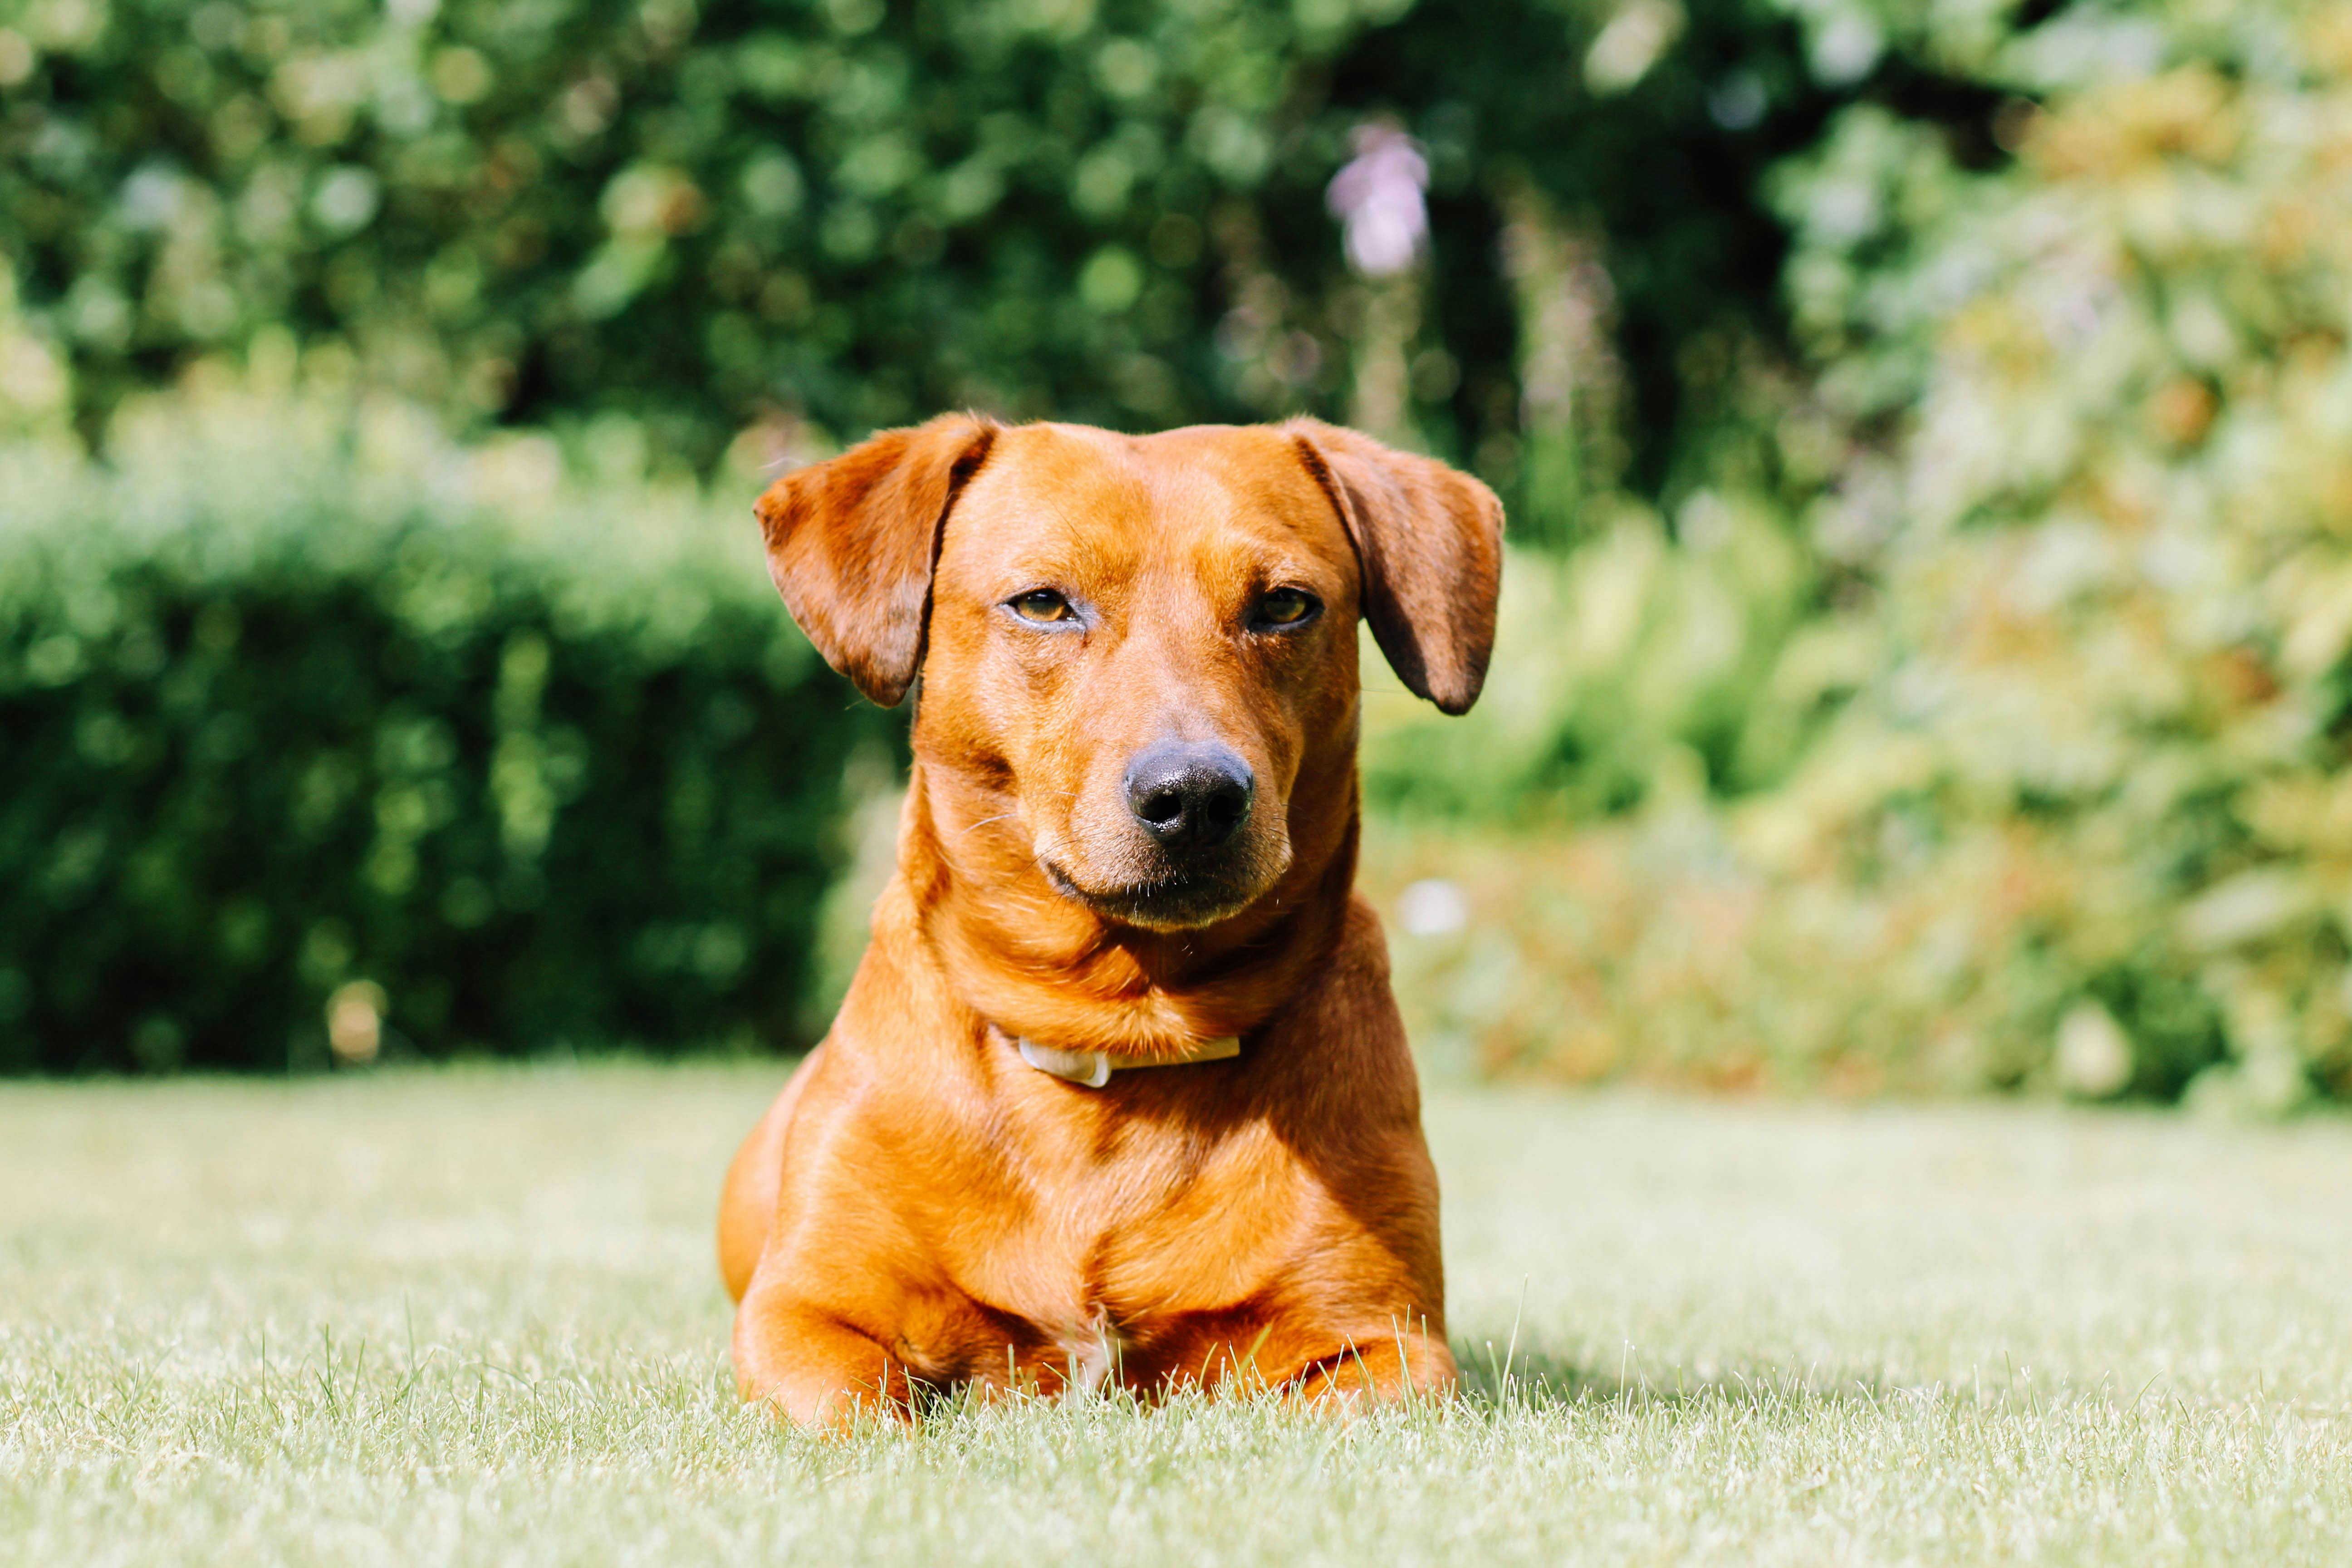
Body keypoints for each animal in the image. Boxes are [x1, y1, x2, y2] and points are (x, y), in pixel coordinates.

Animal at [710, 413, 1505, 1420]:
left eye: (1286, 605)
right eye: (1044, 604)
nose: (1194, 794)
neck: (1120, 1035)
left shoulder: (1385, 1343)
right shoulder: (803, 1316)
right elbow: (859, 1407)